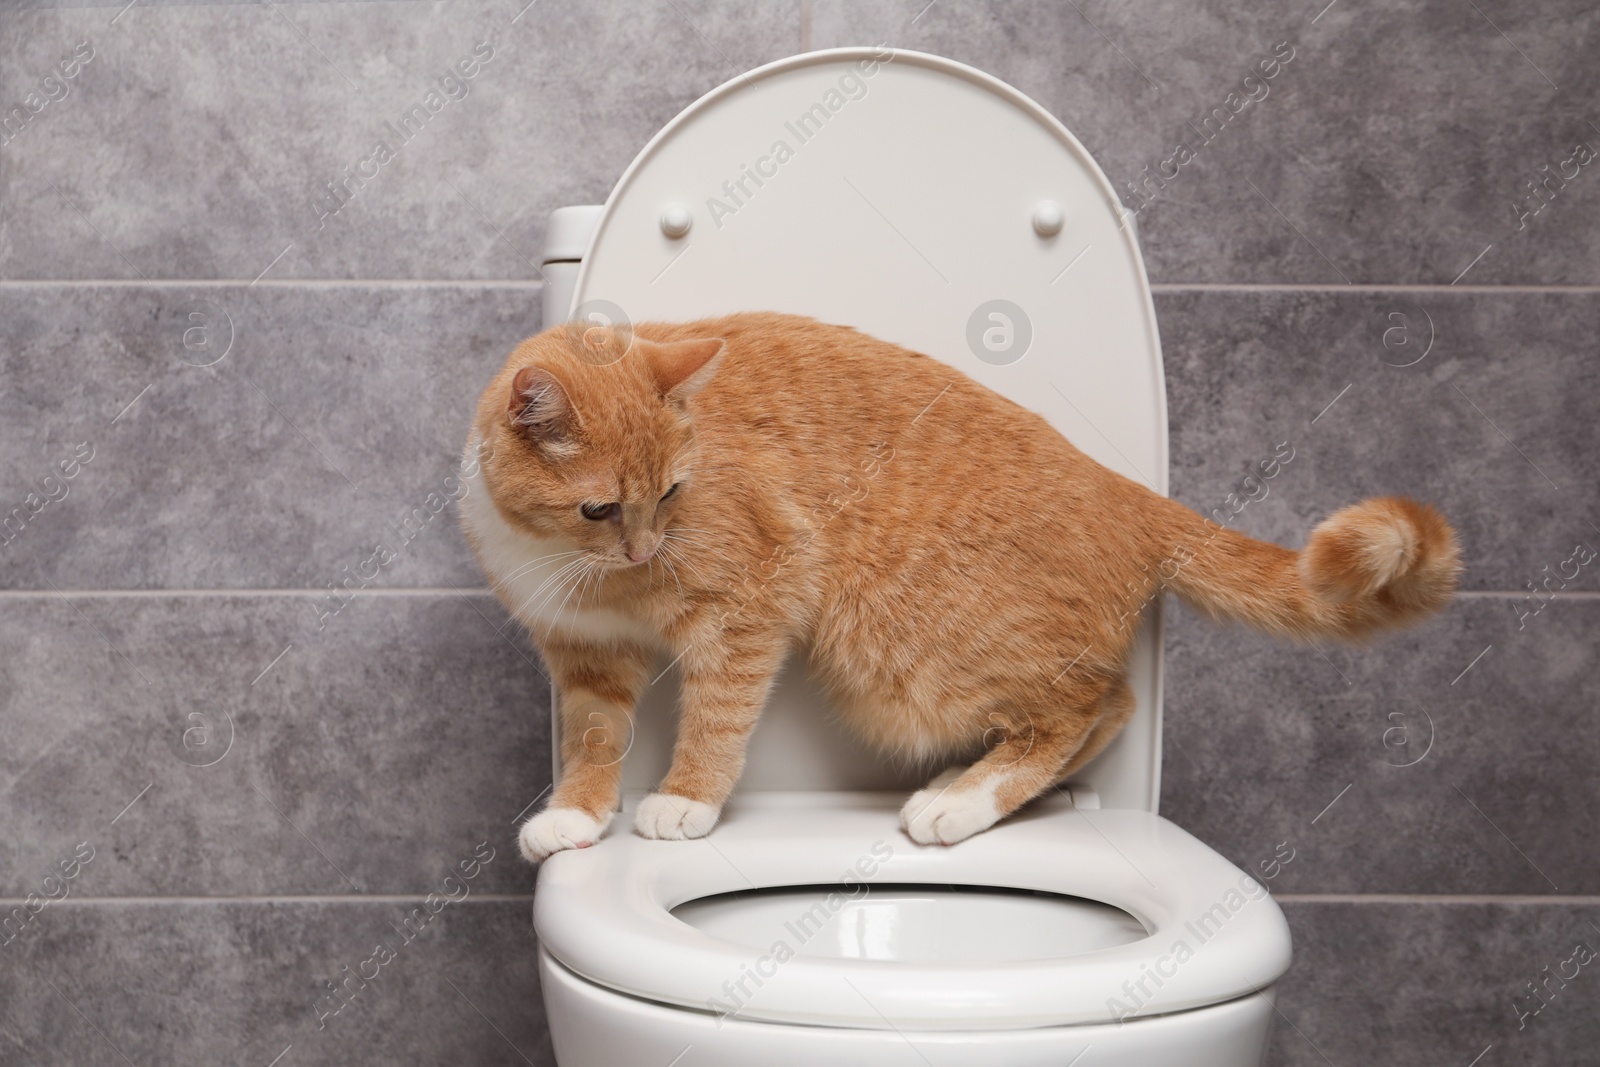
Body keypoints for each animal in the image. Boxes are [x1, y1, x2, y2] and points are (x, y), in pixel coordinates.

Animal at [464, 313, 1465, 863]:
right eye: (600, 508)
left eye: (673, 492)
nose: (644, 549)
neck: (573, 564)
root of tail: (1125, 489)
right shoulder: (585, 656)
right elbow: (595, 738)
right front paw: (577, 814)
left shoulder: (751, 600)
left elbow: (718, 710)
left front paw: (684, 800)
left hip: (903, 658)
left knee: (1095, 704)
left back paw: (962, 801)